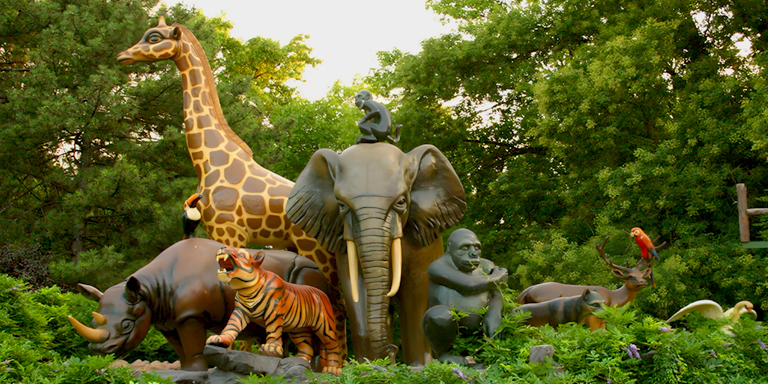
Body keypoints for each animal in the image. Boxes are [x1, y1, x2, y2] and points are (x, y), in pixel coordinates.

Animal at [424, 228, 508, 366]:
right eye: (465, 247)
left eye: (477, 247)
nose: (474, 254)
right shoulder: (437, 267)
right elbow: (468, 284)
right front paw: (500, 275)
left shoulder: (488, 264)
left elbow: (496, 295)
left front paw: (493, 321)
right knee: (440, 315)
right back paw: (446, 356)